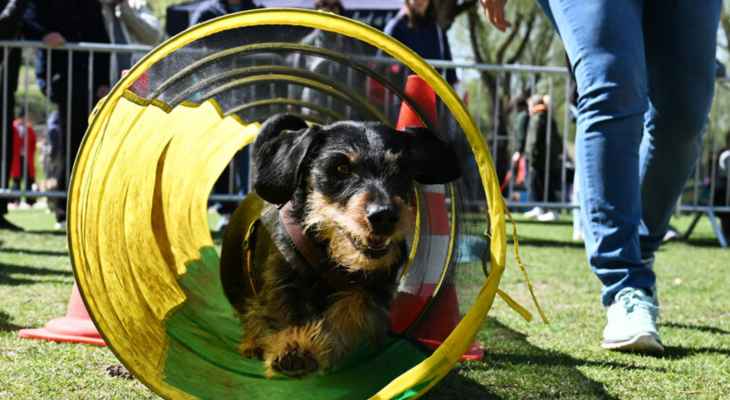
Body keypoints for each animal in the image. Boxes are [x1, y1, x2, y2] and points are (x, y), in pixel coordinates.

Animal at [222, 113, 460, 378]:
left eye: (401, 171)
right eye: (341, 168)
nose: (384, 216)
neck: (330, 254)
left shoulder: (375, 289)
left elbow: (351, 309)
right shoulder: (281, 279)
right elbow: (283, 311)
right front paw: (293, 347)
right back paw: (252, 342)